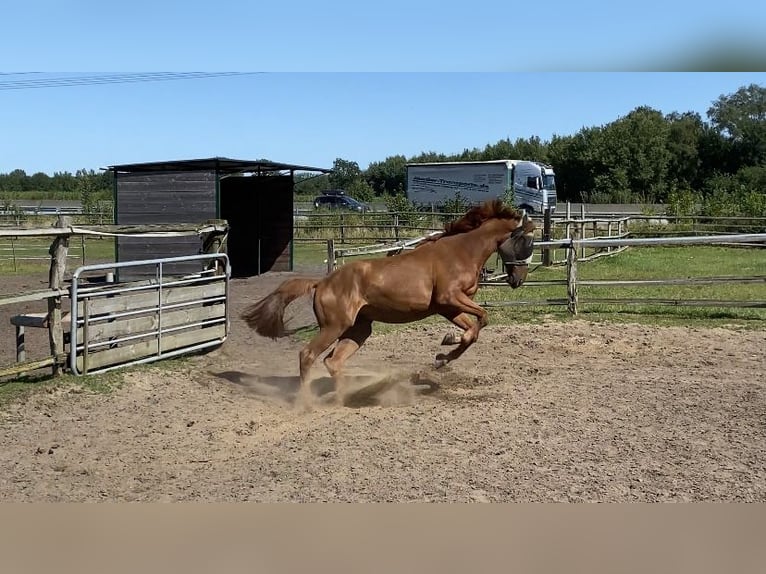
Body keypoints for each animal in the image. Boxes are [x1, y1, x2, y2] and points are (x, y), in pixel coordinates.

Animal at [243, 200, 536, 408]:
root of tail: (323, 282)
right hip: (334, 327)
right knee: (308, 355)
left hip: (359, 330)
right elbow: (481, 320)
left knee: (333, 362)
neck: (460, 251)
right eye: (525, 240)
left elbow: (473, 331)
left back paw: (345, 399)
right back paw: (307, 404)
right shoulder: (449, 298)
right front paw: (448, 346)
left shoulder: (449, 308)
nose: (519, 279)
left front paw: (442, 356)